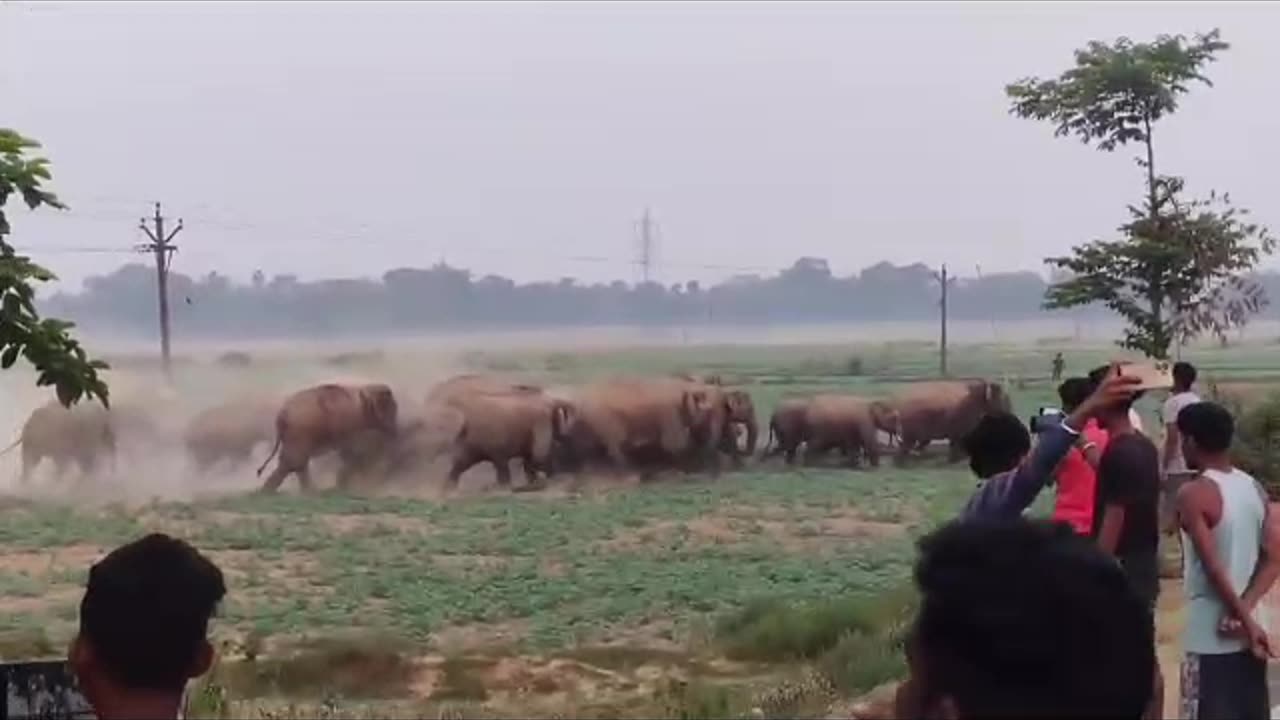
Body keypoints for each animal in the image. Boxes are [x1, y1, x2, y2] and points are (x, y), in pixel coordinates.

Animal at [256, 381, 399, 491]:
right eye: (393, 409)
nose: (394, 433)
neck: (365, 389)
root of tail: (281, 413)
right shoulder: (350, 423)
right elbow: (351, 450)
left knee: (294, 461)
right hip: (299, 431)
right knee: (295, 460)